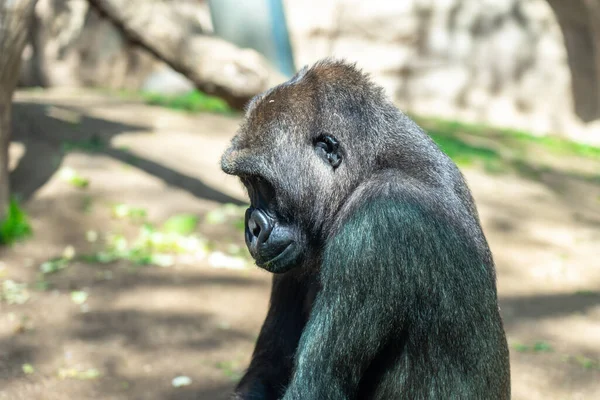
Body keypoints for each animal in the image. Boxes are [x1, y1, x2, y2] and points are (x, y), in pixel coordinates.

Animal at [220, 57, 510, 398]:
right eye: (247, 181)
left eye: (260, 181)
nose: (252, 227)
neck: (368, 167)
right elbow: (268, 367)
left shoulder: (377, 226)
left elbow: (315, 387)